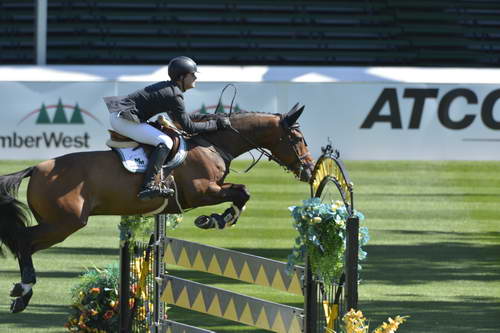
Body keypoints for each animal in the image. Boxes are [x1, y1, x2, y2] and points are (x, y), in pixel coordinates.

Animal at [0, 103, 312, 312]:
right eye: (298, 139)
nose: (309, 171)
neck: (211, 144)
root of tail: (35, 169)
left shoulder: (212, 189)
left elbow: (241, 193)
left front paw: (219, 218)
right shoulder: (202, 192)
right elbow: (242, 192)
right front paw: (216, 219)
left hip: (59, 224)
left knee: (24, 244)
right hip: (64, 223)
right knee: (24, 241)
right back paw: (23, 291)